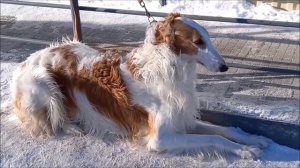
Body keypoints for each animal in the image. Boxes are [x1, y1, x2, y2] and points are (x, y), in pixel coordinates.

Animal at [11, 12, 270, 159]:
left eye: (208, 37)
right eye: (198, 42)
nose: (225, 67)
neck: (167, 70)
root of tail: (26, 60)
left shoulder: (181, 118)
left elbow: (225, 130)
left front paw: (253, 139)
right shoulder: (160, 138)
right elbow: (215, 138)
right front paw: (245, 150)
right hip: (44, 86)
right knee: (46, 124)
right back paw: (72, 127)